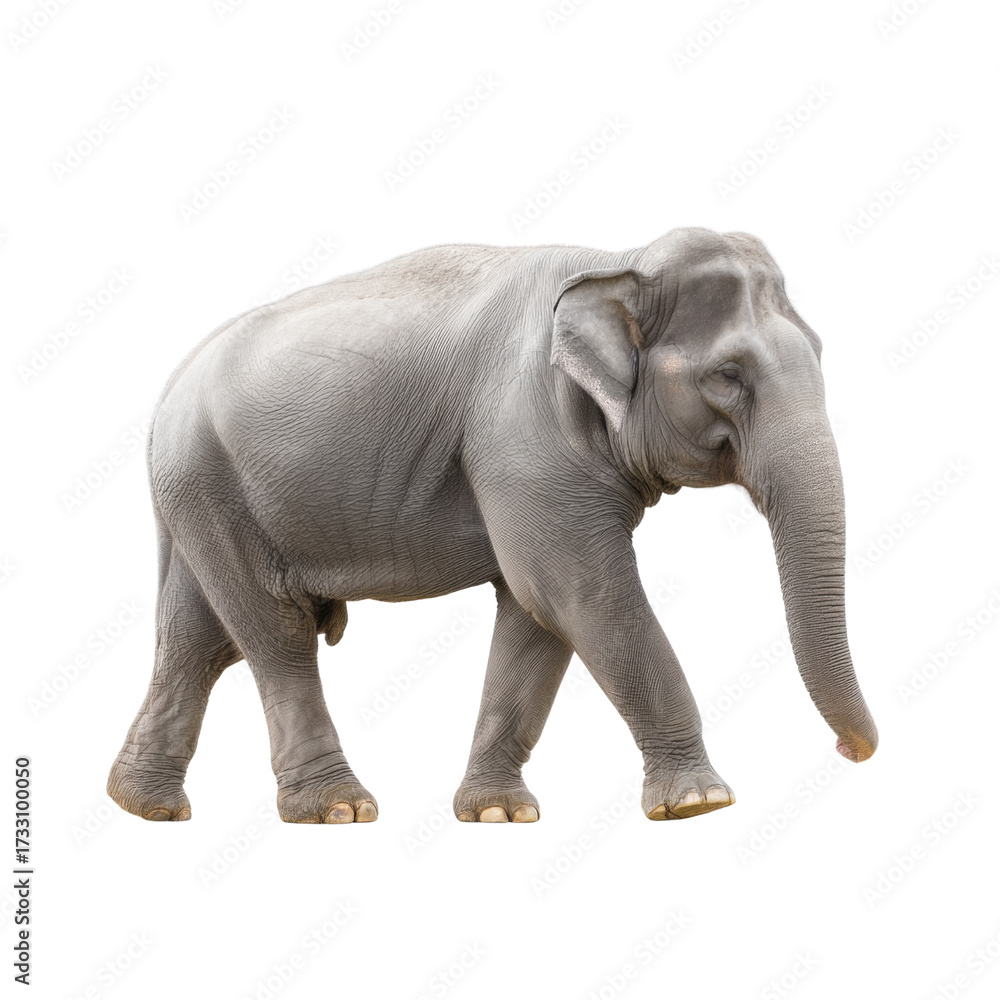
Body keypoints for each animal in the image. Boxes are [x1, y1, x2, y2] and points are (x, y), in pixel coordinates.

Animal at [107, 226, 878, 825]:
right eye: (728, 375)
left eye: (820, 354)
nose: (854, 751)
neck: (619, 260)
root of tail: (165, 397)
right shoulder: (524, 433)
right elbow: (579, 592)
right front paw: (698, 803)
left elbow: (535, 614)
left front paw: (498, 813)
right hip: (210, 481)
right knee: (274, 633)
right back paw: (337, 809)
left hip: (200, 493)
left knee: (198, 639)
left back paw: (145, 806)